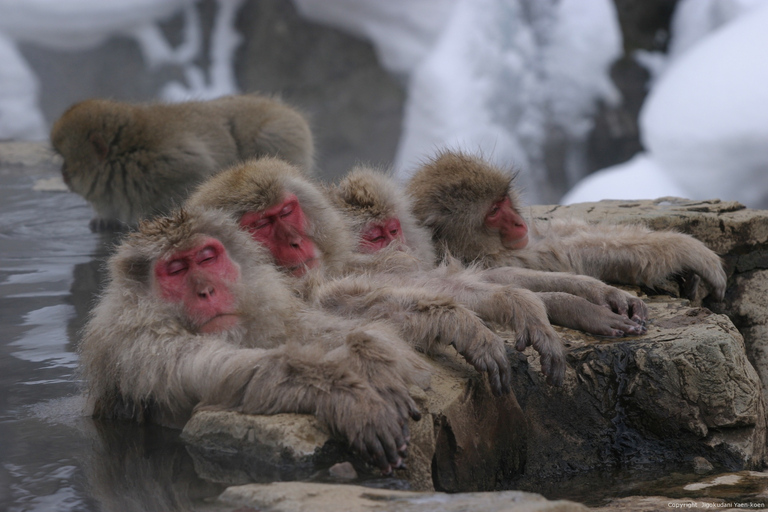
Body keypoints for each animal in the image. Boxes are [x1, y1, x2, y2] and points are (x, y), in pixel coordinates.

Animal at [51, 94, 316, 232]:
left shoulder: (171, 164)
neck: (126, 156)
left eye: (66, 161)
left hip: (280, 133)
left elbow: (198, 173)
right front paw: (105, 219)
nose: (62, 174)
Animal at [79, 207, 432, 472]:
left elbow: (312, 329)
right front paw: (346, 395)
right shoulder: (140, 346)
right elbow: (218, 372)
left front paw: (372, 360)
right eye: (176, 269)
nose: (207, 291)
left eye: (207, 258)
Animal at [332, 166, 652, 338]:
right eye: (376, 238)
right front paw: (581, 310)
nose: (399, 247)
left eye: (393, 230)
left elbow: (493, 277)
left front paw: (596, 293)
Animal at [404, 149, 728, 300]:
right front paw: (685, 249)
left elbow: (563, 233)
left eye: (503, 200)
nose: (518, 223)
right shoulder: (495, 259)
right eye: (493, 212)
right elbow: (570, 254)